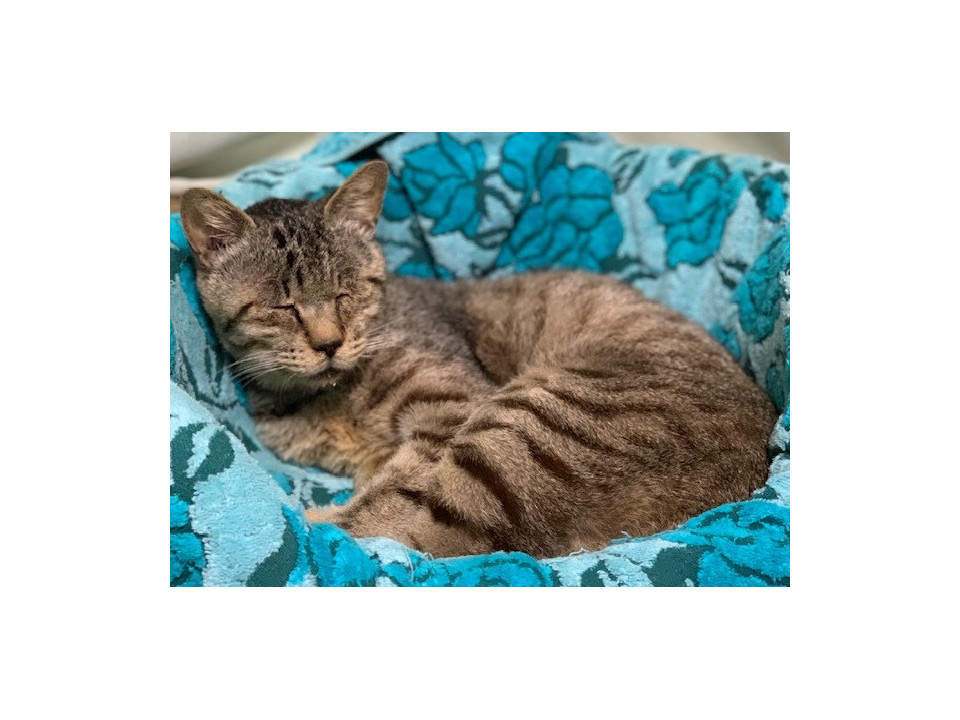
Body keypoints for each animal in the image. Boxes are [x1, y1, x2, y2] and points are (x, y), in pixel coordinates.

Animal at [180, 160, 778, 559]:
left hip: (527, 425)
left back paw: (305, 520)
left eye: (347, 293)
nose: (329, 343)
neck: (320, 398)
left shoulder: (448, 409)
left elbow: (391, 497)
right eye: (282, 306)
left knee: (434, 535)